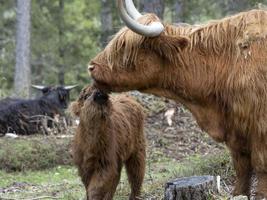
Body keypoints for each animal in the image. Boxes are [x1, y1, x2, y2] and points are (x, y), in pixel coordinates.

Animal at [88, 0, 267, 198]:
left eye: (125, 47)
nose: (91, 67)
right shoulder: (236, 127)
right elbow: (242, 166)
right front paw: (238, 194)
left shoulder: (260, 125)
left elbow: (260, 164)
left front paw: (261, 195)